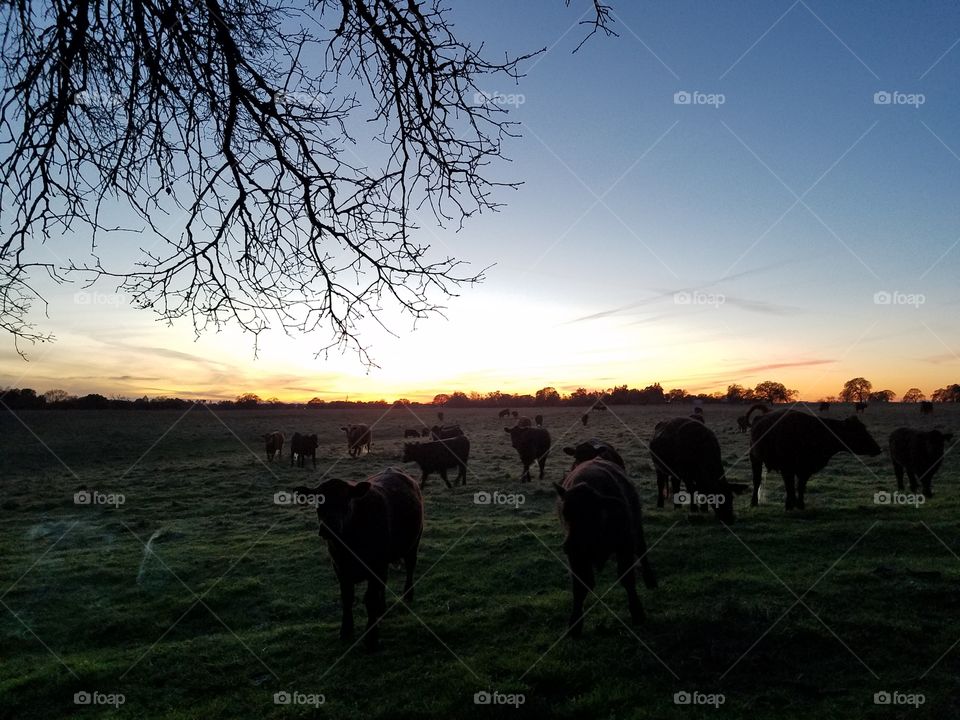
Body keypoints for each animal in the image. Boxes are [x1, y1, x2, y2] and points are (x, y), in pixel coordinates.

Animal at [292, 470, 420, 648]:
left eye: (346, 500)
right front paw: (346, 630)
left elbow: (370, 599)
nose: (328, 528)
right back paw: (382, 608)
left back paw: (408, 595)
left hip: (413, 543)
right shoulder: (340, 568)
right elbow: (347, 598)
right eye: (318, 502)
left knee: (410, 567)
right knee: (384, 581)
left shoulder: (375, 566)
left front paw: (371, 637)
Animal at [552, 458, 656, 640]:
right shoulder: (576, 557)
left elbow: (627, 578)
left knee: (642, 550)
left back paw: (650, 579)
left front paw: (637, 613)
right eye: (565, 513)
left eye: (592, 515)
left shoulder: (625, 545)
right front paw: (575, 624)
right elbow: (580, 587)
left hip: (637, 528)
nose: (569, 545)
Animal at [752, 410, 880, 512]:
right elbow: (790, 487)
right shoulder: (787, 469)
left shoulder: (805, 470)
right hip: (755, 459)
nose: (878, 448)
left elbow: (800, 487)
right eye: (858, 431)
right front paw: (789, 505)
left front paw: (800, 505)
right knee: (757, 481)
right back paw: (754, 502)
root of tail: (759, 418)